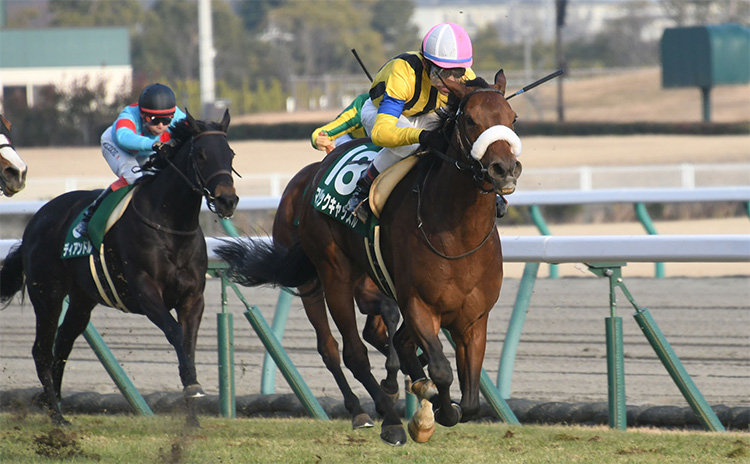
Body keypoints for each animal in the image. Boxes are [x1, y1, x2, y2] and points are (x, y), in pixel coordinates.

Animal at [0, 110, 238, 426]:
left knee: (62, 343)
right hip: (47, 295)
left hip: (81, 300)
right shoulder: (146, 292)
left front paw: (192, 415)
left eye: (230, 154)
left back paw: (54, 403)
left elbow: (188, 343)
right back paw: (56, 416)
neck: (171, 226)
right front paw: (193, 388)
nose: (228, 200)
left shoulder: (192, 298)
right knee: (41, 350)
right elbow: (175, 332)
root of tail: (36, 221)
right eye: (201, 155)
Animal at [217, 72, 524, 446]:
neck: (456, 236)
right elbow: (440, 371)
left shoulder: (473, 318)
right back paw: (383, 419)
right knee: (345, 350)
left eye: (512, 118)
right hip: (327, 277)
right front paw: (426, 415)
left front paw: (424, 395)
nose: (504, 169)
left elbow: (469, 400)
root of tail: (314, 172)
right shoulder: (418, 304)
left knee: (377, 339)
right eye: (470, 120)